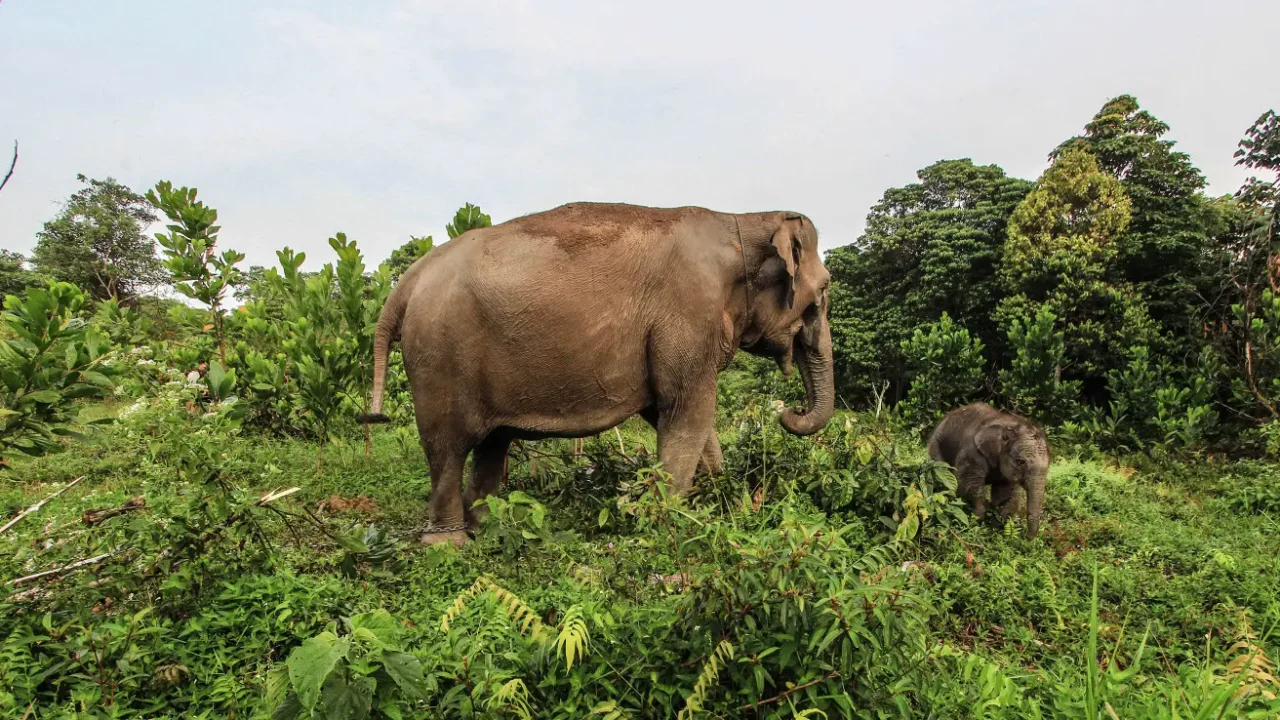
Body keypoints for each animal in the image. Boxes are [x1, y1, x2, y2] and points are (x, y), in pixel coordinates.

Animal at [363, 202, 839, 543]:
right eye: (826, 288)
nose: (790, 411)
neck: (742, 220)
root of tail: (409, 279)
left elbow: (671, 413)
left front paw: (714, 499)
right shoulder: (688, 314)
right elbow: (686, 409)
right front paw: (666, 519)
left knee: (491, 445)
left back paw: (489, 528)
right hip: (439, 354)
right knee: (446, 447)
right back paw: (449, 543)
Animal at [931, 399, 1049, 535]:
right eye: (1020, 462)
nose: (1027, 536)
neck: (1009, 425)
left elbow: (1003, 494)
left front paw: (998, 525)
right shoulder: (971, 454)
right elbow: (968, 486)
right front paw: (978, 522)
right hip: (936, 445)